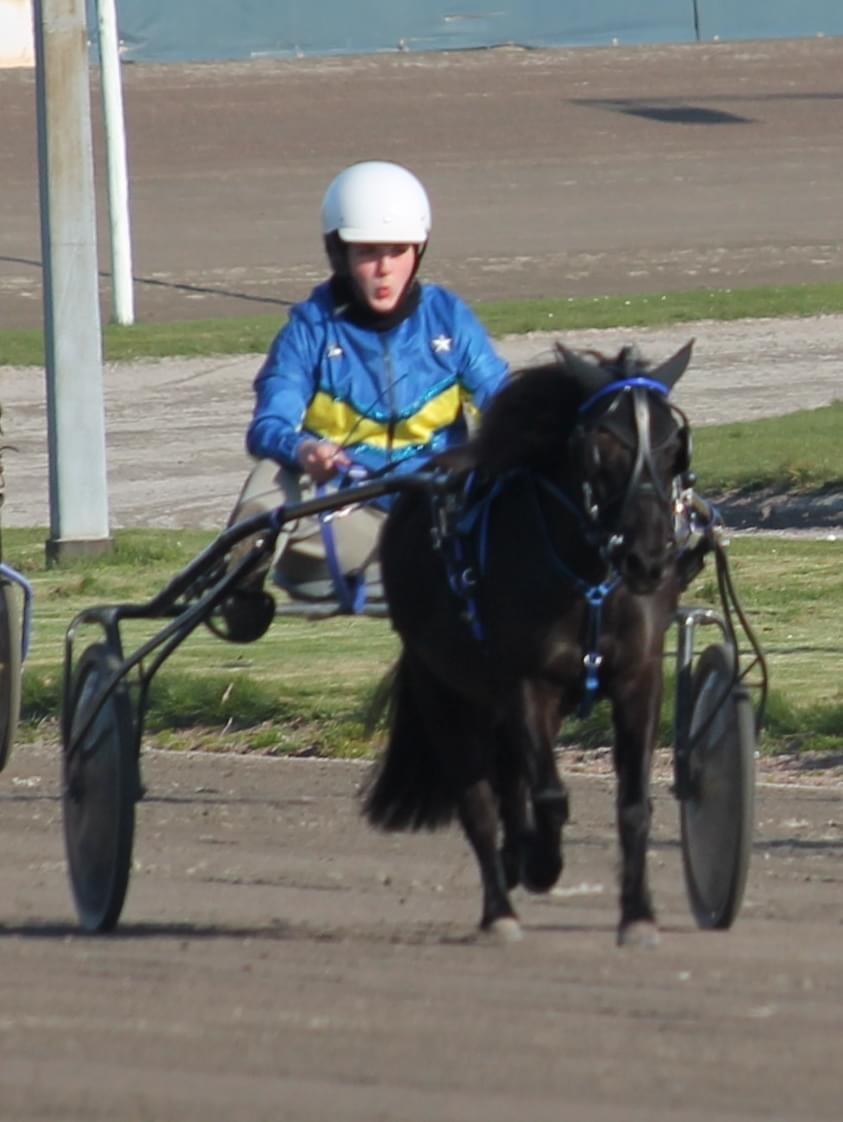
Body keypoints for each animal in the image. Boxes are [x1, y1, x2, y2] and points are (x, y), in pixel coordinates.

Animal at [365, 341, 695, 946]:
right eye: (600, 444)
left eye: (671, 444)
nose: (648, 558)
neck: (588, 576)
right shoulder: (524, 684)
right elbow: (548, 797)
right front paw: (540, 862)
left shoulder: (637, 678)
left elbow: (634, 804)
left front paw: (638, 915)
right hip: (442, 688)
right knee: (478, 801)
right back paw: (500, 908)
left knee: (508, 775)